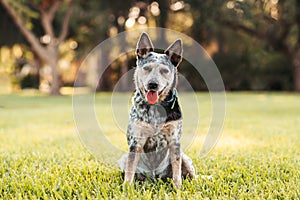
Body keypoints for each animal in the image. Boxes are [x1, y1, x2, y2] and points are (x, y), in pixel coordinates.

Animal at [118, 32, 196, 188]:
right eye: (147, 68)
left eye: (164, 71)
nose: (152, 84)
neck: (156, 107)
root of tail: (155, 176)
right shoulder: (136, 141)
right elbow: (130, 170)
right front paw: (126, 188)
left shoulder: (174, 141)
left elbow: (177, 171)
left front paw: (178, 188)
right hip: (124, 159)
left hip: (184, 157)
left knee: (191, 174)